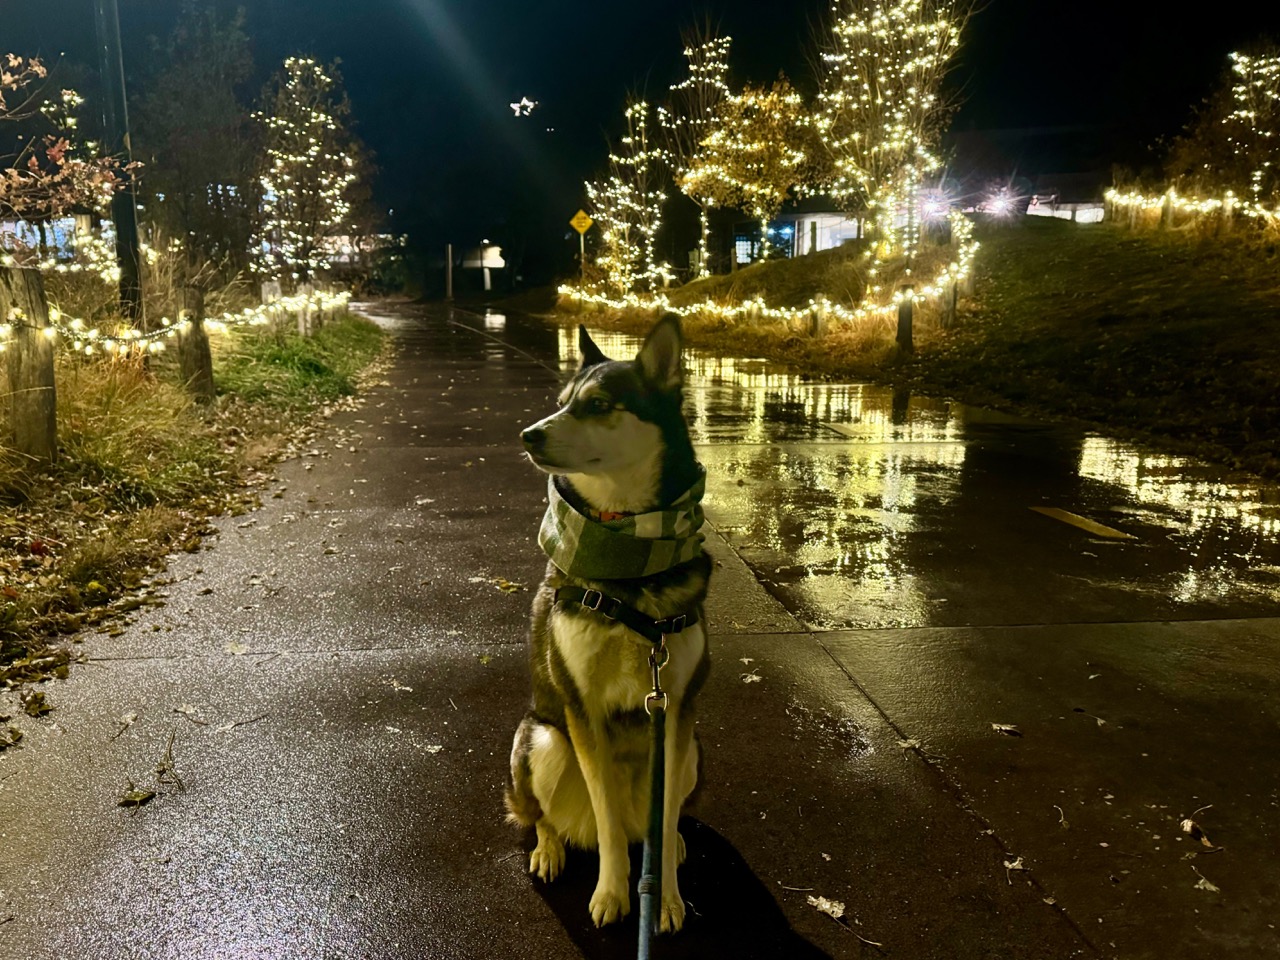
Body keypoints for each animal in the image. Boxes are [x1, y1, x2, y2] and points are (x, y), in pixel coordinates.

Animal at [506, 316, 711, 931]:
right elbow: (609, 825)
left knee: (661, 819)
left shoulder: (676, 711)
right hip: (542, 739)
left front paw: (664, 896)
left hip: (692, 753)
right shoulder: (582, 710)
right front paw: (613, 892)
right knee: (550, 818)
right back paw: (551, 848)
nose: (529, 435)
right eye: (560, 403)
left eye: (597, 405)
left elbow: (662, 824)